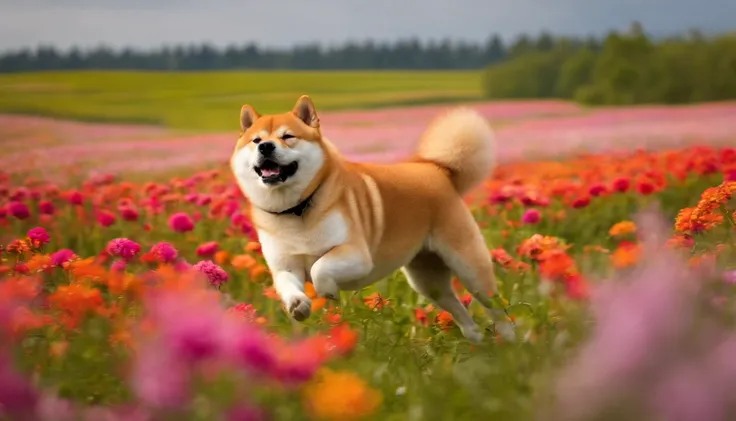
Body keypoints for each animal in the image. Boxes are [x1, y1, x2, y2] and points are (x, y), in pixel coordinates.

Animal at [230, 96, 512, 344]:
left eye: (288, 136)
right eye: (256, 140)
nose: (265, 146)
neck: (296, 210)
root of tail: (438, 170)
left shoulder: (356, 255)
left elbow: (320, 267)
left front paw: (327, 291)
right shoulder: (285, 266)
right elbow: (289, 284)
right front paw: (298, 305)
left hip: (469, 268)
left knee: (498, 310)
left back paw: (509, 344)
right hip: (428, 281)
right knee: (462, 314)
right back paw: (477, 342)